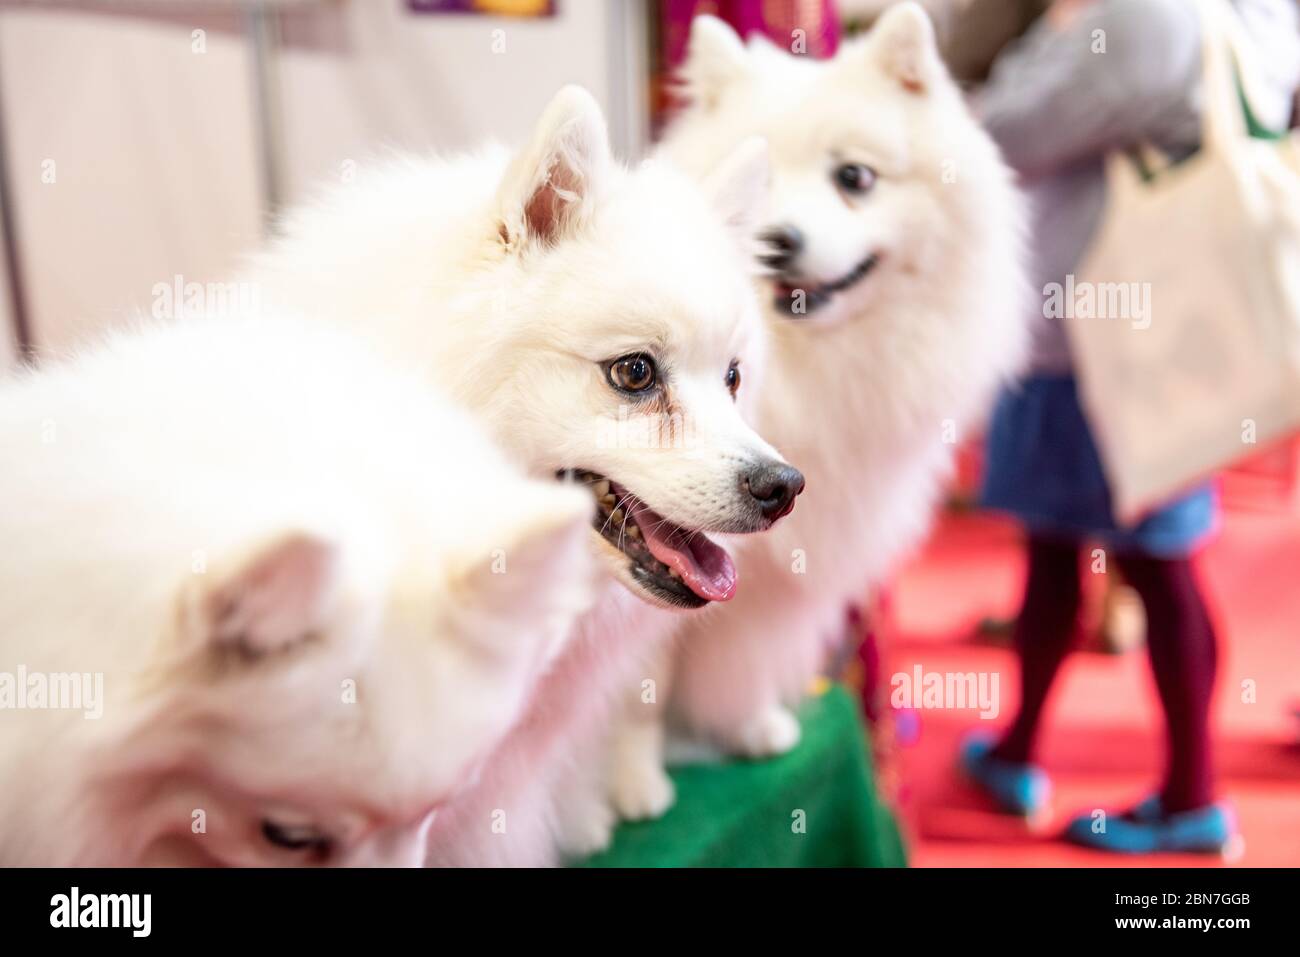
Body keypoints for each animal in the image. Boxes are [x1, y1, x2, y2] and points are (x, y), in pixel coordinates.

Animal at [603, 1, 1029, 821]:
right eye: (757, 190)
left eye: (853, 177)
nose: (777, 241)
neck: (804, 374)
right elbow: (638, 686)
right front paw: (632, 786)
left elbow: (741, 652)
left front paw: (746, 728)